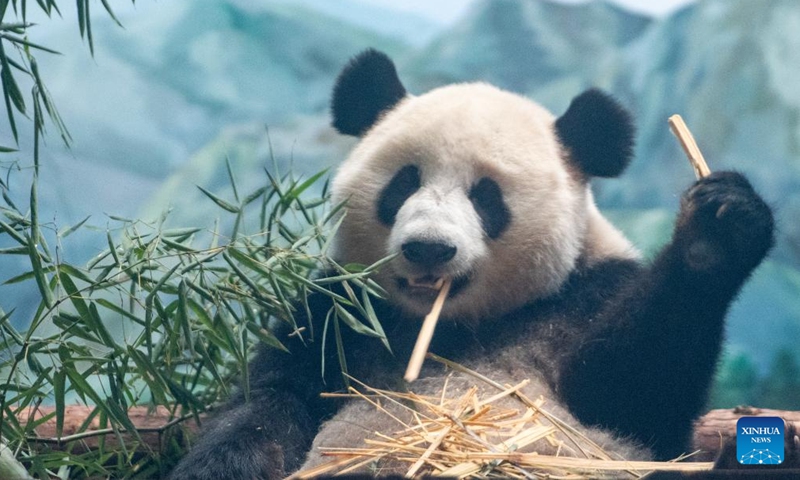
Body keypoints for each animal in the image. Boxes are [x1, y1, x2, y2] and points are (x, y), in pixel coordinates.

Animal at [169, 49, 776, 480]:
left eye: (486, 197)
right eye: (404, 182)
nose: (428, 248)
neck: (447, 327)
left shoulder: (587, 298)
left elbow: (639, 398)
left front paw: (717, 230)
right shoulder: (340, 312)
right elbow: (272, 403)